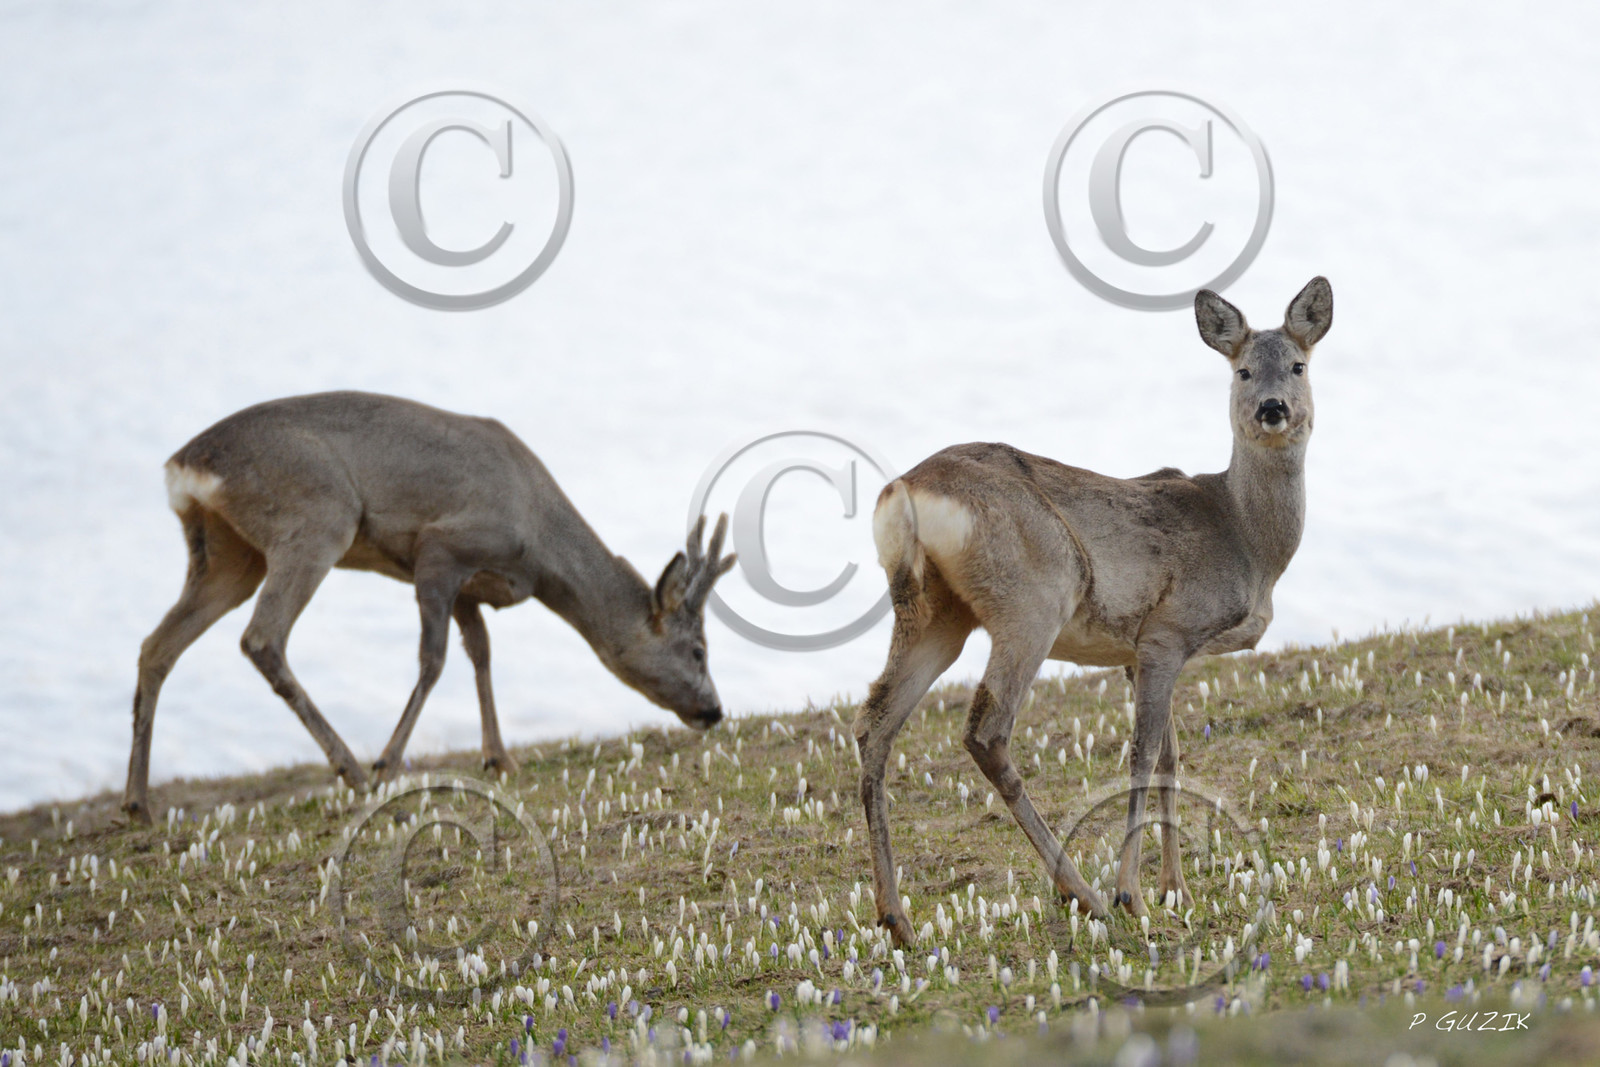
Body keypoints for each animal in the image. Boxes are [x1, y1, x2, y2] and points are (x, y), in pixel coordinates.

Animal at [122, 391, 737, 825]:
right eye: (698, 650)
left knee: (157, 646)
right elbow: (434, 660)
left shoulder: (469, 586)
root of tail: (185, 466)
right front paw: (388, 764)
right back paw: (353, 771)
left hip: (227, 553)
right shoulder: (440, 548)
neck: (539, 551)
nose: (714, 711)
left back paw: (138, 804)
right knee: (261, 637)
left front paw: (500, 758)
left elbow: (481, 654)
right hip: (317, 515)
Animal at [852, 278, 1332, 945]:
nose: (1272, 408)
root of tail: (902, 494)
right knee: (985, 729)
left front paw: (1175, 888)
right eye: (1240, 371)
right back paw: (1085, 894)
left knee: (874, 721)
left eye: (1297, 365)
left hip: (935, 614)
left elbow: (1171, 757)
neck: (1245, 538)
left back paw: (896, 916)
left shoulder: (1137, 649)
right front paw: (1134, 892)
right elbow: (1142, 754)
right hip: (1035, 594)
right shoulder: (1167, 631)